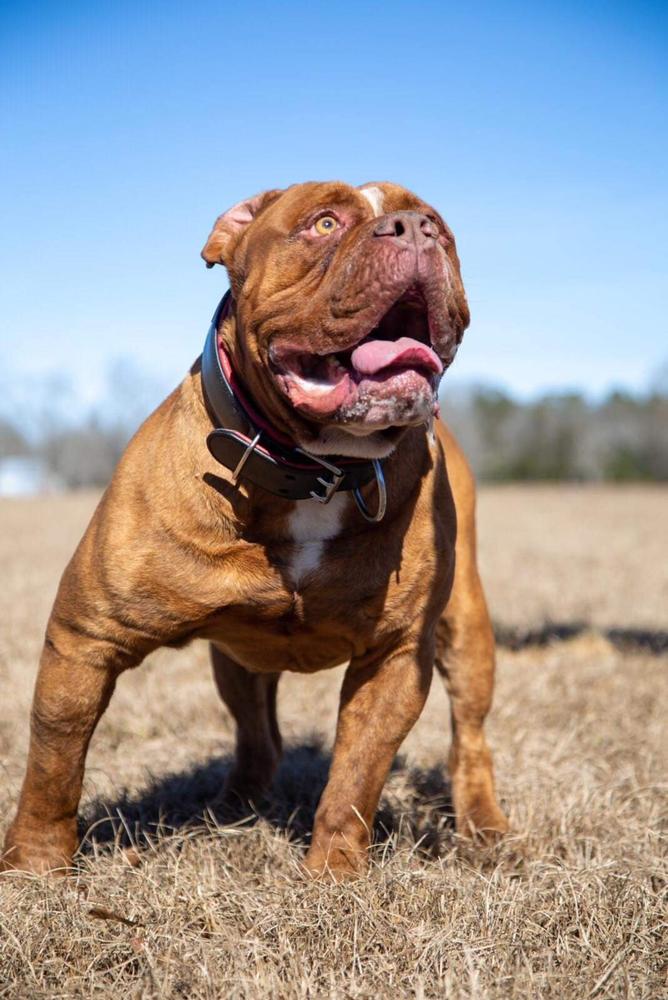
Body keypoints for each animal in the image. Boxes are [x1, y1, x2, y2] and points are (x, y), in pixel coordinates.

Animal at [2, 182, 508, 884]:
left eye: (439, 225)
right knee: (256, 733)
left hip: (466, 627)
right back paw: (235, 803)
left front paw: (333, 876)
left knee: (471, 736)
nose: (414, 229)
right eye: (324, 224)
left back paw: (486, 827)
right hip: (237, 656)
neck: (315, 469)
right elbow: (56, 758)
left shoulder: (397, 655)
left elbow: (356, 776)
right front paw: (36, 865)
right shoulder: (86, 637)